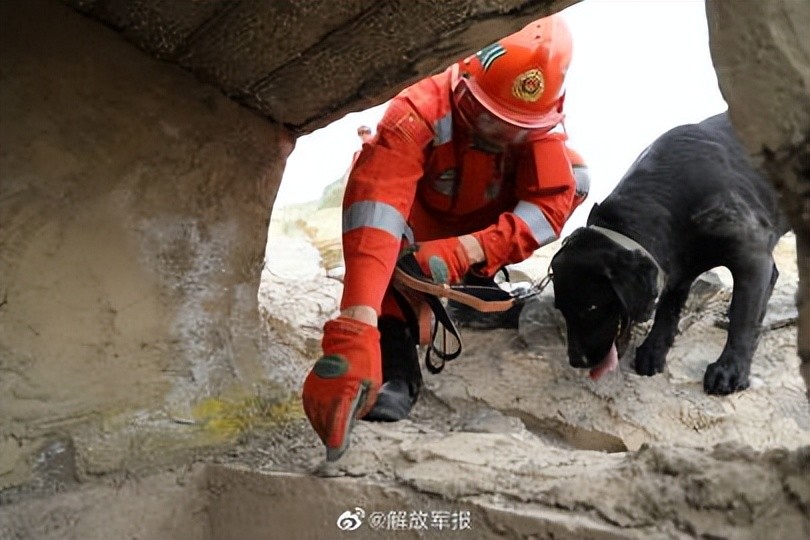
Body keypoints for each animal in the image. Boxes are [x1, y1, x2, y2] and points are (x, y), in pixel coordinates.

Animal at [548, 113, 788, 392]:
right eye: (562, 308)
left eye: (591, 308)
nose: (576, 361)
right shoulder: (678, 267)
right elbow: (668, 309)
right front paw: (654, 350)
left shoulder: (752, 258)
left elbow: (744, 317)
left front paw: (730, 369)